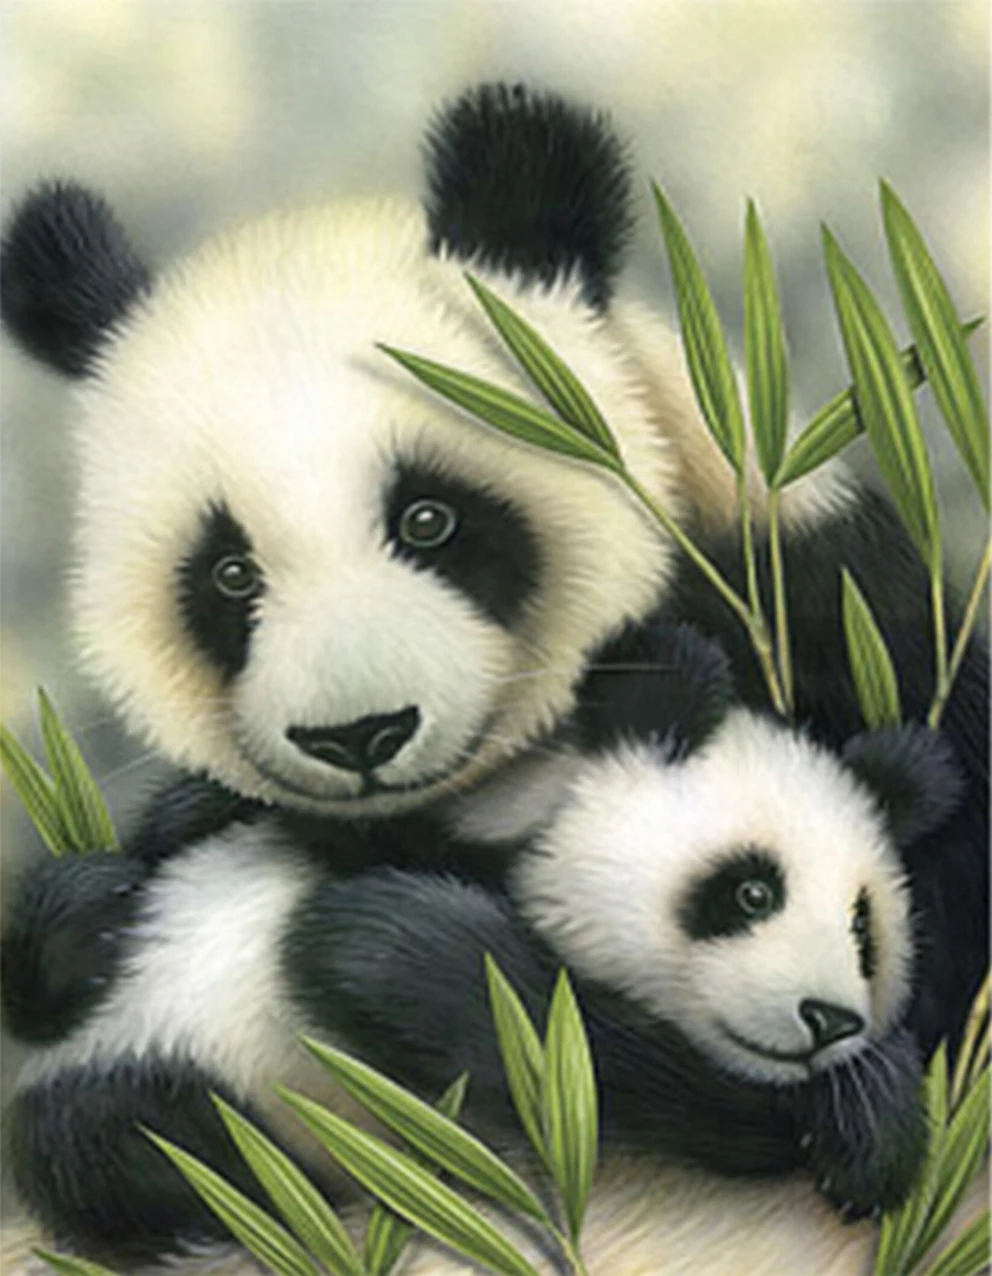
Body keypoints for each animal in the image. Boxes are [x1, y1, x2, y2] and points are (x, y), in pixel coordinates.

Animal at [2, 624, 953, 1273]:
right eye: (753, 891)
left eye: (864, 927)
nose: (831, 1019)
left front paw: (868, 1119)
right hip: (163, 1084)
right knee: (125, 1137)